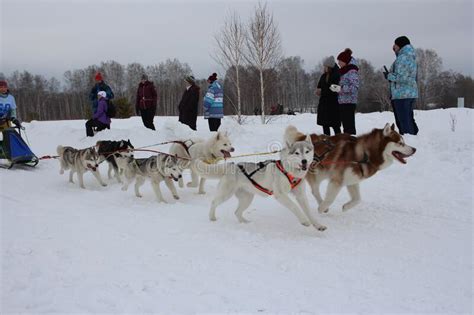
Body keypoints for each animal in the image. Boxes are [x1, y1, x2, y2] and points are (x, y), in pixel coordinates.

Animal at [193, 126, 326, 232]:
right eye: (297, 153)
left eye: (307, 151)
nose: (304, 161)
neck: (290, 171)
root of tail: (231, 165)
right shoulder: (280, 195)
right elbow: (295, 207)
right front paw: (304, 221)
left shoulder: (301, 196)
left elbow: (309, 212)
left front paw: (318, 225)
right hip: (226, 194)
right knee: (214, 202)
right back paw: (212, 217)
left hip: (247, 198)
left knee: (237, 212)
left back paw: (244, 222)